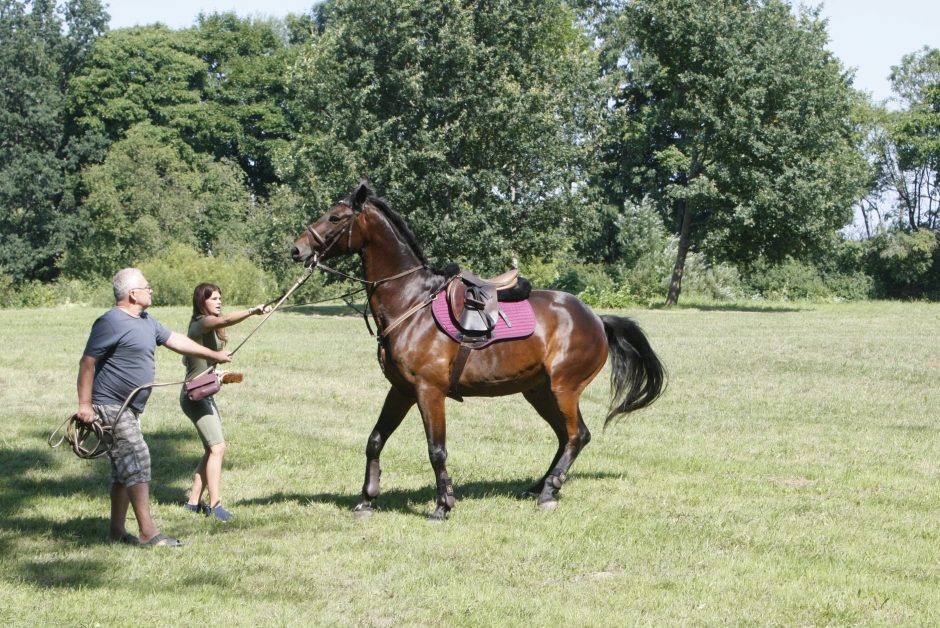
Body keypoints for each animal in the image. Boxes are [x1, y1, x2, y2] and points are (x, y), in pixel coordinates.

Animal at [290, 180, 664, 520]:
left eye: (335, 217)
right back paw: (539, 486)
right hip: (539, 391)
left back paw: (548, 492)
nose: (297, 249)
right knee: (564, 436)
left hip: (564, 388)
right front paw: (367, 500)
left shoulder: (429, 391)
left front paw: (443, 505)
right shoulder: (401, 390)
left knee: (577, 435)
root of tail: (597, 319)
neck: (410, 303)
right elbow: (375, 440)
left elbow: (436, 450)